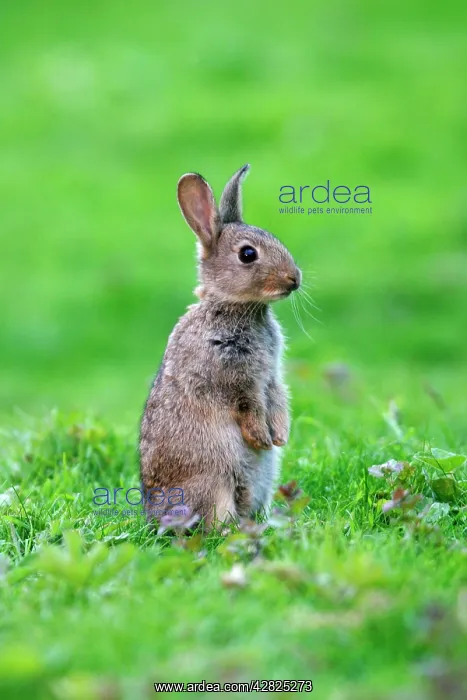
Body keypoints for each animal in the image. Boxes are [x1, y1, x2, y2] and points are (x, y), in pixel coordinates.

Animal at [139, 164, 301, 529]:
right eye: (247, 254)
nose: (294, 279)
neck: (235, 307)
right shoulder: (231, 376)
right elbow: (247, 405)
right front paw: (261, 438)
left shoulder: (271, 375)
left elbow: (278, 396)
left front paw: (280, 436)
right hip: (213, 482)